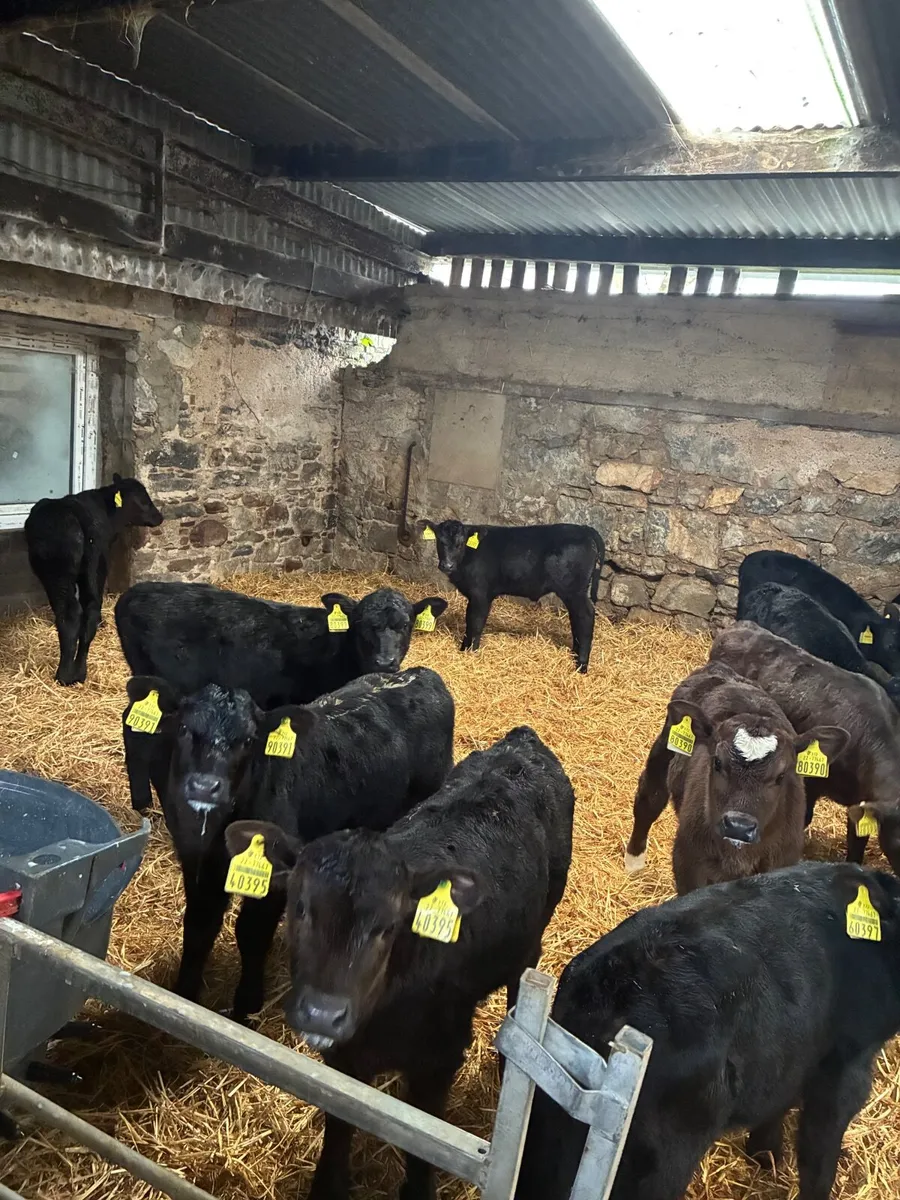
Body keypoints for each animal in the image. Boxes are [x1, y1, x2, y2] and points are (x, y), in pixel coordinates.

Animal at [24, 475, 162, 685]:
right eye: (142, 499)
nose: (159, 517)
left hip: (59, 575)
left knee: (71, 614)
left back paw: (64, 675)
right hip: (96, 564)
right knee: (90, 609)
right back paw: (80, 672)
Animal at [122, 667, 454, 1022]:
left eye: (249, 740)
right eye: (184, 728)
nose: (204, 786)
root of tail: (421, 675)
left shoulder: (276, 875)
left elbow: (251, 934)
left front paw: (246, 1006)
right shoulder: (197, 863)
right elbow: (199, 926)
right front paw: (183, 995)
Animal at [224, 724, 575, 1199]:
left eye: (388, 926)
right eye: (299, 907)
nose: (322, 1014)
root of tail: (522, 740)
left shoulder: (440, 1059)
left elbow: (424, 1147)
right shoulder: (345, 1055)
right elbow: (341, 1126)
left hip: (534, 936)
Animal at [419, 519, 604, 672]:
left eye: (459, 544)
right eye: (440, 541)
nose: (447, 565)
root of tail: (584, 529)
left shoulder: (481, 594)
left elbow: (475, 622)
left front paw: (470, 651)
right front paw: (465, 648)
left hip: (574, 591)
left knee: (586, 615)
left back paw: (581, 665)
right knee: (576, 618)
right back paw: (574, 654)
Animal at [624, 661, 848, 891]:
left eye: (781, 776)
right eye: (717, 762)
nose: (739, 827)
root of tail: (721, 670)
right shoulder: (688, 861)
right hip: (664, 749)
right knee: (650, 798)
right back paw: (634, 863)